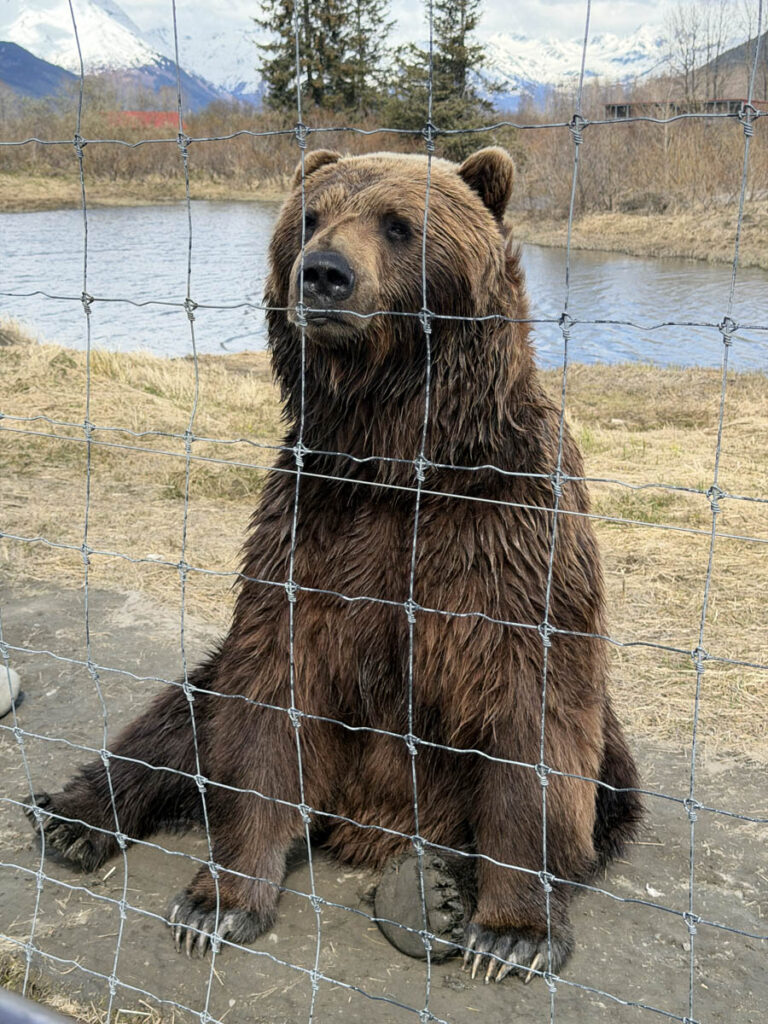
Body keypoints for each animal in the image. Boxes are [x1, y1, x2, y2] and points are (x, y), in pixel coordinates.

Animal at [25, 147, 642, 983]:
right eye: (309, 217)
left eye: (399, 223)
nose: (320, 273)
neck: (393, 456)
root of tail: (361, 828)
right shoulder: (311, 527)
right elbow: (271, 697)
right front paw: (219, 903)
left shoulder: (507, 535)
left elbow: (533, 718)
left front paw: (513, 931)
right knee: (183, 717)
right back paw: (76, 818)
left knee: (602, 796)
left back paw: (446, 885)